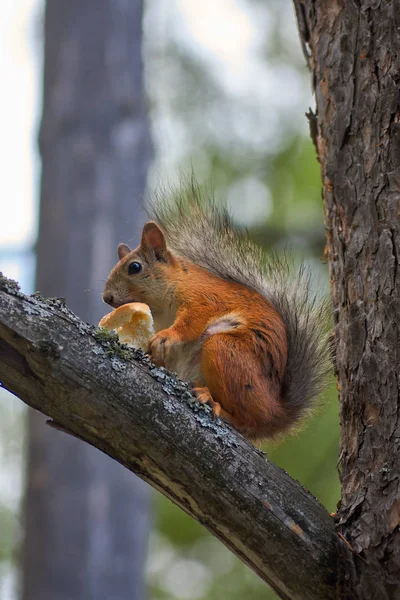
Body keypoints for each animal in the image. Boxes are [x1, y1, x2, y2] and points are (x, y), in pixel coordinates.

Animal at [101, 189, 330, 440]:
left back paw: (214, 404)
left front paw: (167, 336)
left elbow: (191, 323)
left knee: (248, 421)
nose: (106, 297)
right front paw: (154, 354)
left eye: (134, 267)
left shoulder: (204, 300)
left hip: (225, 352)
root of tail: (275, 413)